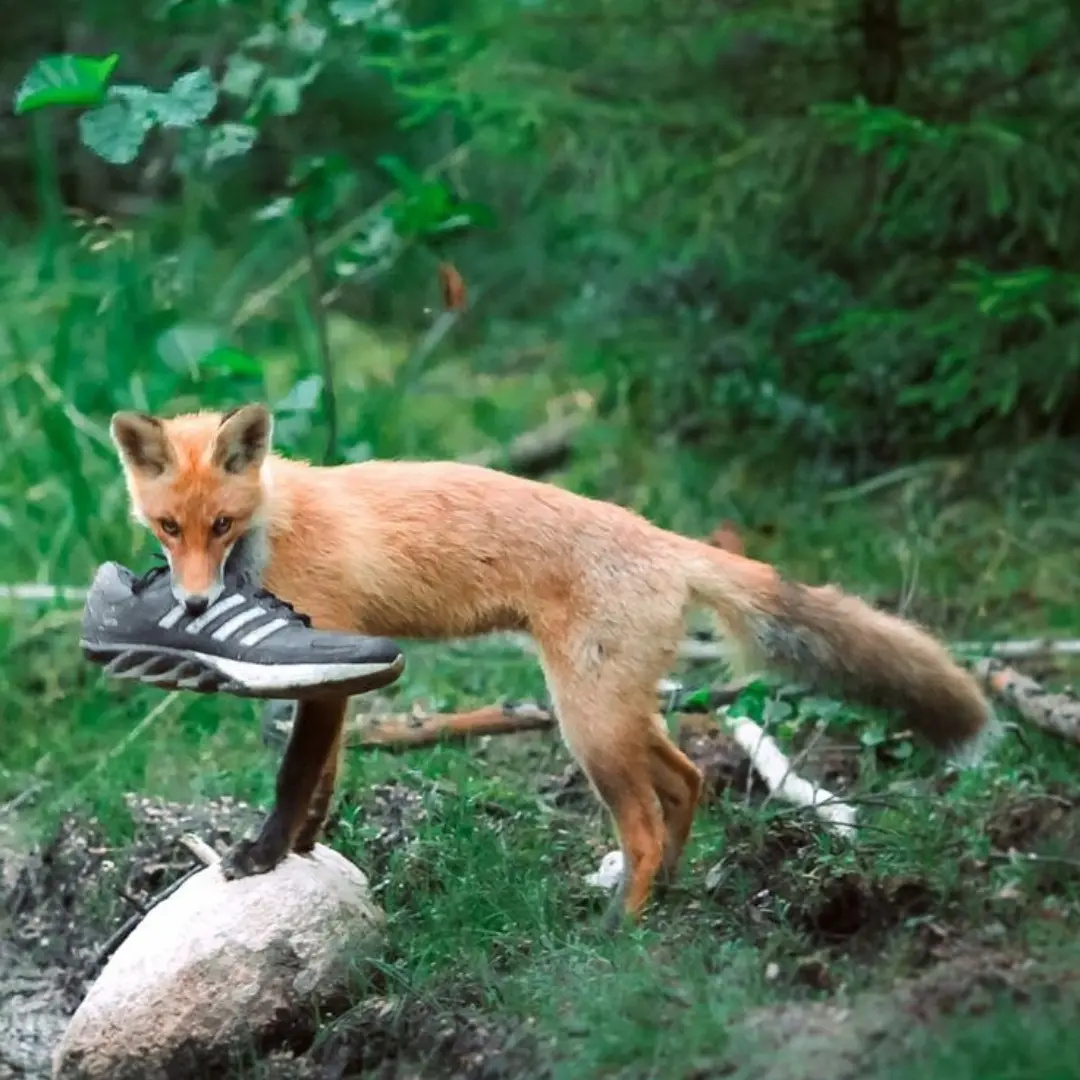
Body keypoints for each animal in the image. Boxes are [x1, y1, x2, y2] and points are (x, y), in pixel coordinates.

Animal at [109, 403, 998, 924]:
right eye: (168, 529)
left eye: (222, 525)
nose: (194, 607)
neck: (275, 526)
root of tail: (668, 542)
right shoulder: (336, 672)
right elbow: (322, 782)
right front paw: (301, 853)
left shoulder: (327, 657)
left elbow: (297, 777)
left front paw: (263, 856)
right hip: (618, 711)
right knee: (689, 781)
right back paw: (667, 893)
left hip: (586, 722)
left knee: (645, 822)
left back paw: (621, 932)